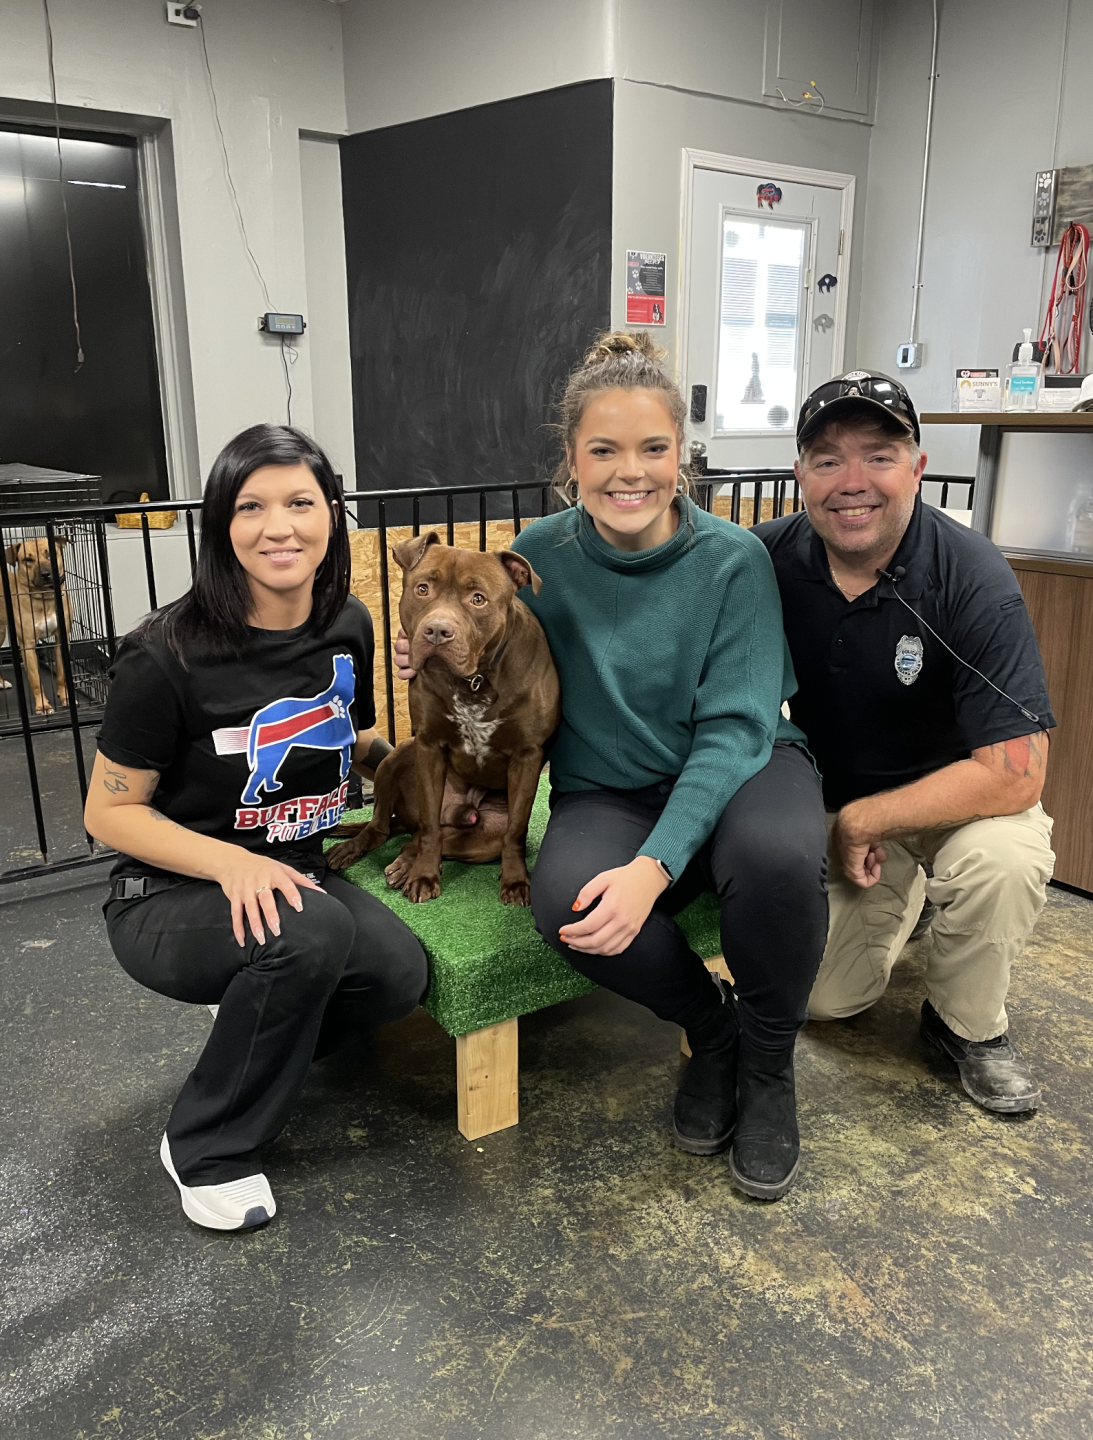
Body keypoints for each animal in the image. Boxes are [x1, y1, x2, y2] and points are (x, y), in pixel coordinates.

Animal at [3, 535, 73, 714]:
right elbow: (35, 679)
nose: (46, 574)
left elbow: (62, 673)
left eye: (50, 554)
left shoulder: (61, 639)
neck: (44, 597)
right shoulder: (27, 646)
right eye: (28, 559)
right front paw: (43, 705)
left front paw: (65, 696)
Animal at [325, 535, 558, 904]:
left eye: (478, 599)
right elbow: (431, 827)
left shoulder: (527, 756)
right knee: (387, 828)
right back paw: (359, 849)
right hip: (397, 756)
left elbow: (516, 832)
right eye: (423, 589)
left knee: (413, 840)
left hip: (484, 838)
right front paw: (424, 876)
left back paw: (403, 863)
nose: (437, 630)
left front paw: (516, 882)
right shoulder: (429, 746)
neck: (474, 680)